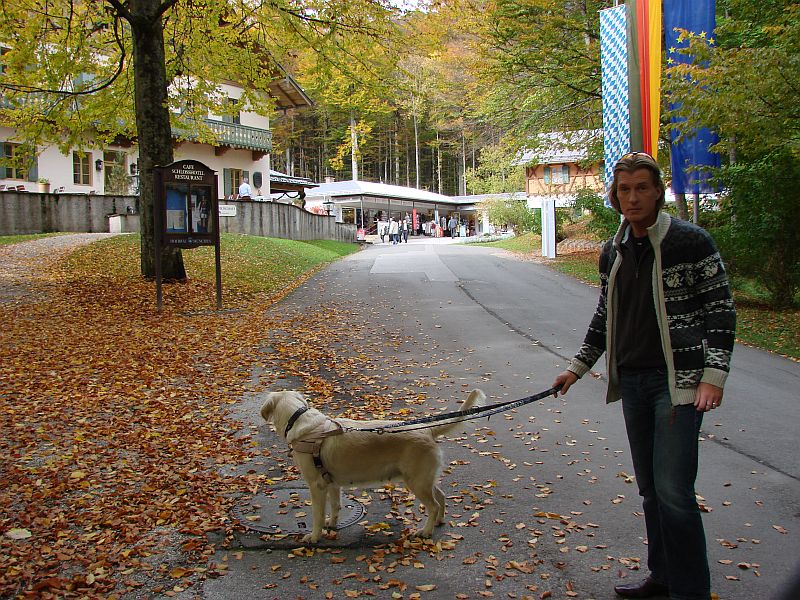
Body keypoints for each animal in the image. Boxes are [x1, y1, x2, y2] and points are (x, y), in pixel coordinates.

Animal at [260, 386, 482, 548]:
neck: (299, 421)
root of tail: (427, 430)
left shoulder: (317, 485)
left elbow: (317, 514)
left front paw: (315, 536)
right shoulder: (331, 483)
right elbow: (336, 506)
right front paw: (332, 524)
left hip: (417, 482)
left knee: (434, 505)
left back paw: (426, 531)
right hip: (423, 479)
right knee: (441, 497)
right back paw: (438, 522)